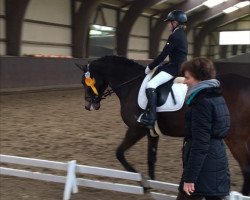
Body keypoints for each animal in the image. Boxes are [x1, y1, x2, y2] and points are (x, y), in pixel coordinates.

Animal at [77, 55, 249, 195]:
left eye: (86, 82)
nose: (88, 105)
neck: (131, 85)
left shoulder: (136, 129)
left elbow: (119, 153)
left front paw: (144, 183)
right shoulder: (151, 132)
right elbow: (151, 159)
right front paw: (153, 185)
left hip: (235, 139)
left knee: (246, 168)